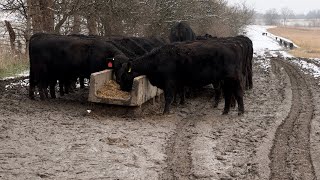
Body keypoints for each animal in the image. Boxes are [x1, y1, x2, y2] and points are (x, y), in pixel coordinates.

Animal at [117, 40, 245, 114]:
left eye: (124, 75)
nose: (121, 88)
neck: (156, 60)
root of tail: (233, 45)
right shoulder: (177, 82)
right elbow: (178, 93)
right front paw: (177, 104)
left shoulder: (169, 82)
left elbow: (169, 96)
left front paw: (166, 112)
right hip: (225, 80)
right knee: (228, 93)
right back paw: (226, 110)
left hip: (232, 78)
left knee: (237, 92)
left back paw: (240, 111)